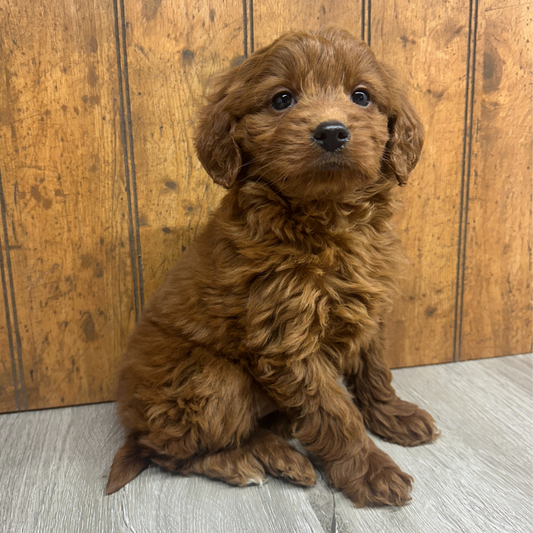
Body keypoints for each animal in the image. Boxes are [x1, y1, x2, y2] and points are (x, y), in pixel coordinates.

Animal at [106, 26, 438, 508]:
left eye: (361, 96)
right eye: (282, 99)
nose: (332, 132)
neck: (328, 217)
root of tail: (132, 426)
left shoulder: (369, 308)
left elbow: (374, 369)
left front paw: (391, 415)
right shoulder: (285, 336)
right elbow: (333, 411)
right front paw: (369, 470)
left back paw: (281, 453)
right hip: (211, 380)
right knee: (173, 452)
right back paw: (252, 463)